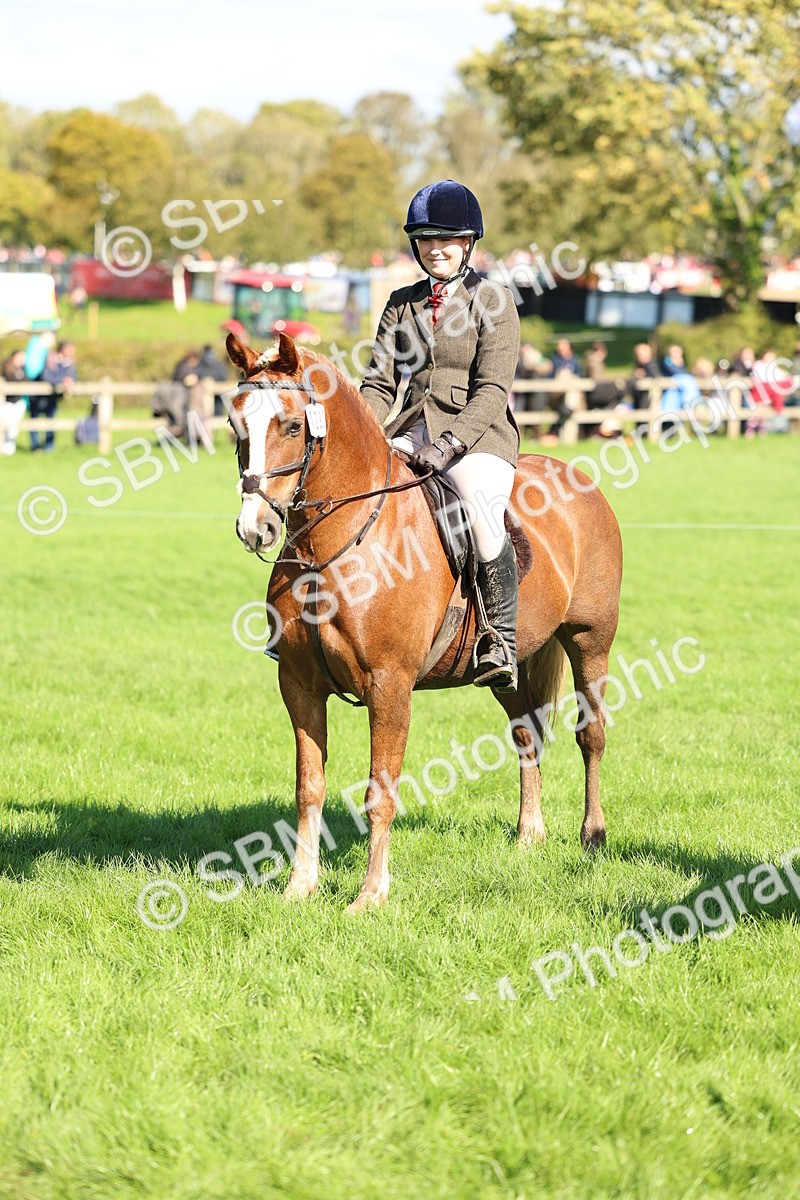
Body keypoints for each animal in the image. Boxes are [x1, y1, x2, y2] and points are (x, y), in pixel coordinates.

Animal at [226, 331, 623, 912]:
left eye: (293, 426)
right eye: (237, 425)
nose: (255, 528)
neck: (336, 545)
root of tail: (575, 476)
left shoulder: (389, 687)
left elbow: (380, 790)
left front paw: (370, 895)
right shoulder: (298, 684)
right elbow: (309, 786)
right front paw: (300, 886)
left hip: (590, 641)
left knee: (590, 734)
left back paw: (591, 835)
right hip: (506, 670)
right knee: (526, 734)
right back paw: (529, 835)